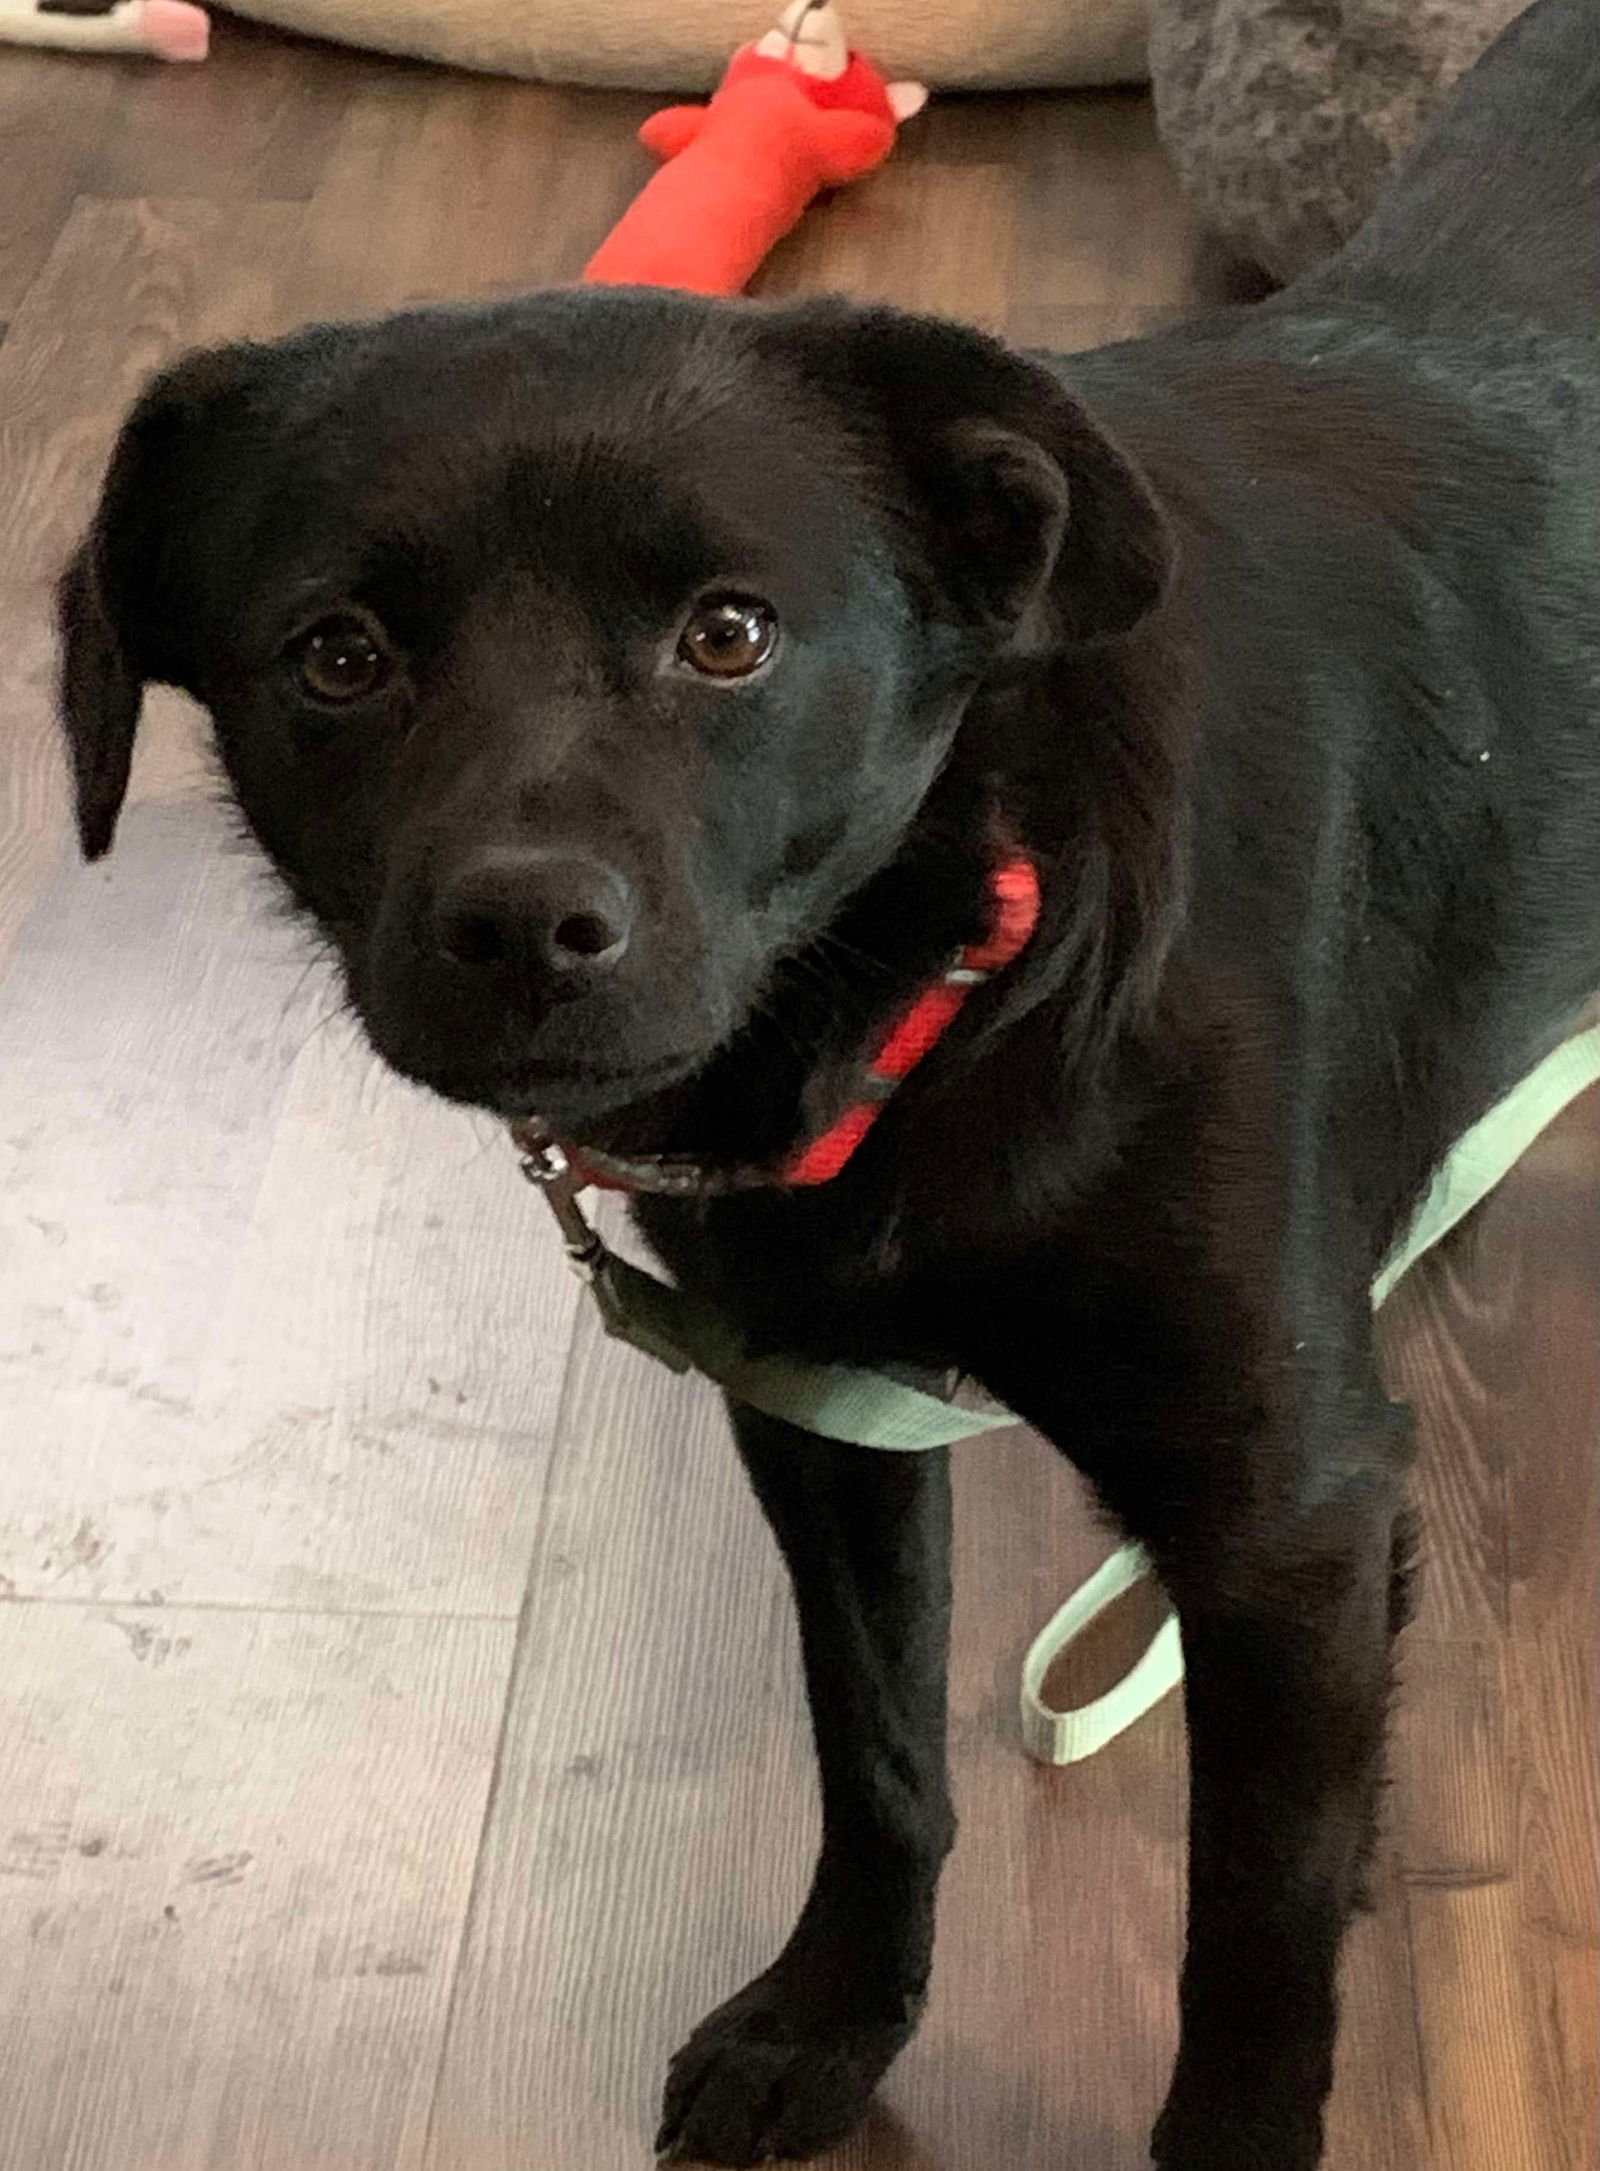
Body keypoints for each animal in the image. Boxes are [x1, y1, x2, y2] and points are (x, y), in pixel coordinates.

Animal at [53, 8, 1597, 2162]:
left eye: (728, 633)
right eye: (336, 656)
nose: (523, 927)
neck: (977, 954)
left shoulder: (1280, 1523)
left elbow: (1256, 1942)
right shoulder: (819, 1418)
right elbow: (874, 1750)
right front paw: (833, 2021)